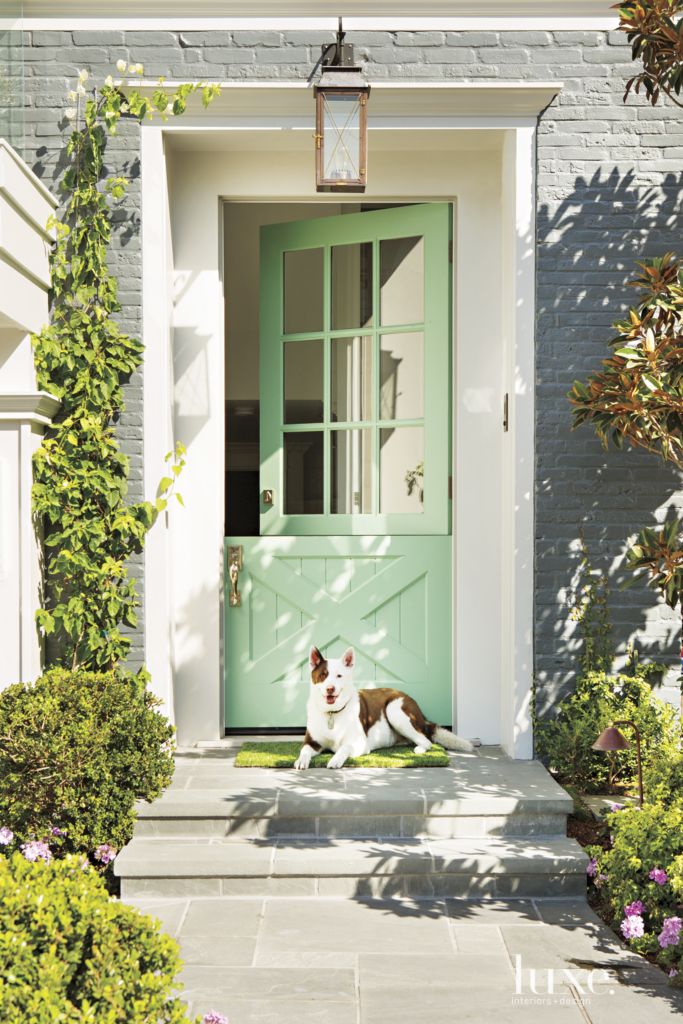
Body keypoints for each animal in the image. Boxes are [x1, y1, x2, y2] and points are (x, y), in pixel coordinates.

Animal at [294, 647, 475, 770]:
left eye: (339, 676)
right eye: (323, 675)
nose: (330, 688)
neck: (332, 713)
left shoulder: (360, 743)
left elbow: (344, 747)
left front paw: (335, 759)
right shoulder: (311, 742)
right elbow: (304, 751)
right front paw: (301, 760)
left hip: (394, 710)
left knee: (426, 741)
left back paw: (418, 748)